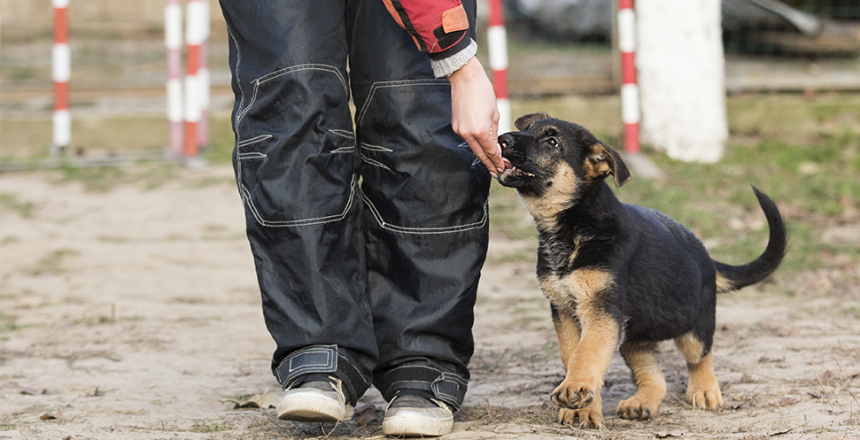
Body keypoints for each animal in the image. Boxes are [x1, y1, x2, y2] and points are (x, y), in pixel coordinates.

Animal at [498, 112, 788, 426]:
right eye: (527, 129)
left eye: (552, 142)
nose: (502, 139)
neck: (573, 227)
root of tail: (705, 255)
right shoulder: (564, 310)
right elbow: (573, 354)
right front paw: (582, 407)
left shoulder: (601, 309)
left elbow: (587, 352)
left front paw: (577, 390)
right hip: (634, 336)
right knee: (655, 376)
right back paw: (642, 403)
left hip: (693, 324)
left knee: (701, 354)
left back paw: (705, 390)